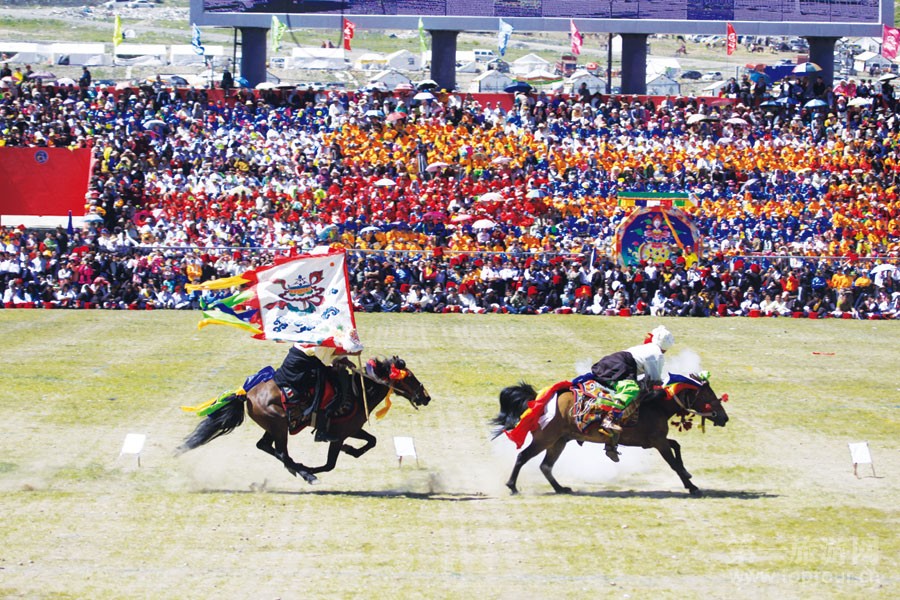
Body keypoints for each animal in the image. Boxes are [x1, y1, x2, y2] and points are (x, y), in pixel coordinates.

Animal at [177, 356, 431, 484]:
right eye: (409, 377)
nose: (425, 397)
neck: (359, 392)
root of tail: (247, 393)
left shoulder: (352, 429)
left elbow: (371, 441)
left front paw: (351, 450)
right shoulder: (338, 434)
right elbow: (330, 464)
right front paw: (314, 468)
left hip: (275, 426)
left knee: (264, 446)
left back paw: (297, 469)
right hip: (279, 424)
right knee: (281, 452)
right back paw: (305, 473)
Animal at [491, 375, 729, 496]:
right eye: (708, 397)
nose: (724, 418)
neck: (656, 404)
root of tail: (536, 399)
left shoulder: (653, 441)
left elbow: (677, 446)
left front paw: (688, 476)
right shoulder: (658, 442)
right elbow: (673, 462)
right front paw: (692, 486)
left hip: (559, 441)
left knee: (545, 466)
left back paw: (561, 488)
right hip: (545, 439)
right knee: (523, 457)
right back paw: (512, 486)